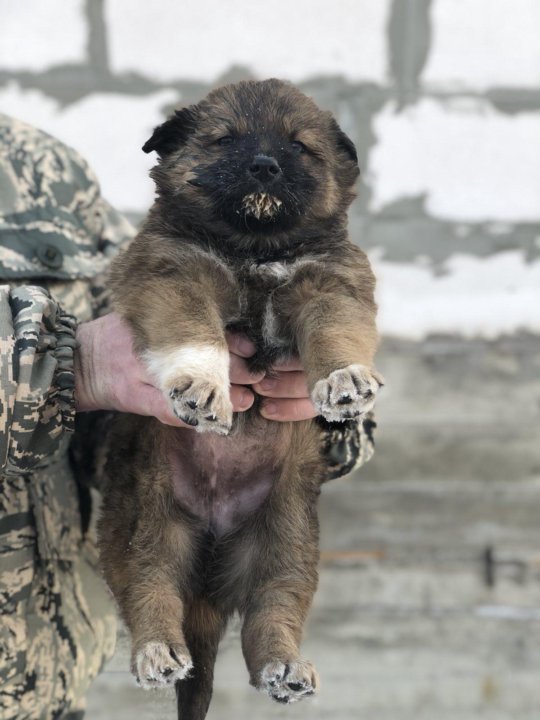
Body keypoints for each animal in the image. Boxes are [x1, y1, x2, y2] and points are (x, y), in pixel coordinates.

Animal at [99, 79, 382, 720]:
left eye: (299, 146)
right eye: (225, 140)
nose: (265, 166)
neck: (253, 248)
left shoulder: (330, 284)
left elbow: (336, 334)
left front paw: (346, 380)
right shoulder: (175, 274)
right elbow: (195, 333)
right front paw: (203, 387)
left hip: (286, 539)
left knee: (272, 611)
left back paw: (284, 668)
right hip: (149, 524)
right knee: (150, 592)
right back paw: (157, 652)